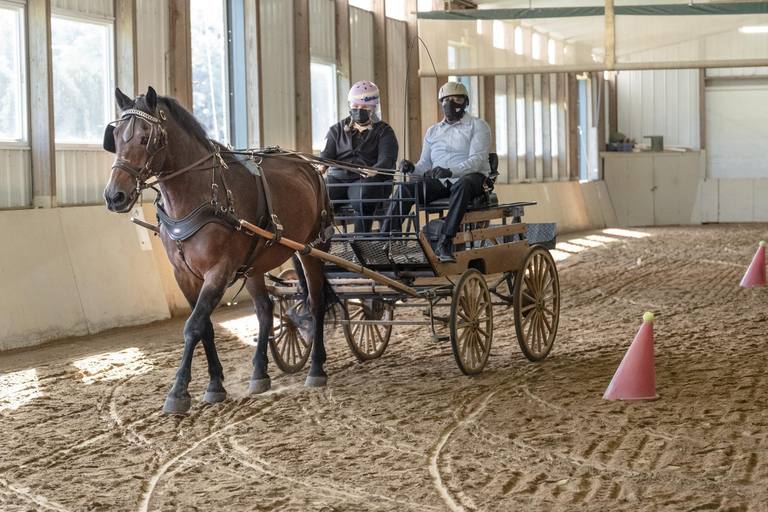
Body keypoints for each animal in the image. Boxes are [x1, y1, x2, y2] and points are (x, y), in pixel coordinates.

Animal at [103, 87, 332, 412]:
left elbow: (192, 326)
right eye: (116, 136)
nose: (115, 196)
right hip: (254, 264)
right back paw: (259, 373)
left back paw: (316, 368)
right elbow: (205, 326)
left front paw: (178, 392)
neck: (200, 195)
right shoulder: (184, 275)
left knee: (315, 303)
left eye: (146, 137)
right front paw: (214, 384)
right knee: (265, 310)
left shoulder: (219, 271)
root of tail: (307, 164)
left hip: (312, 248)